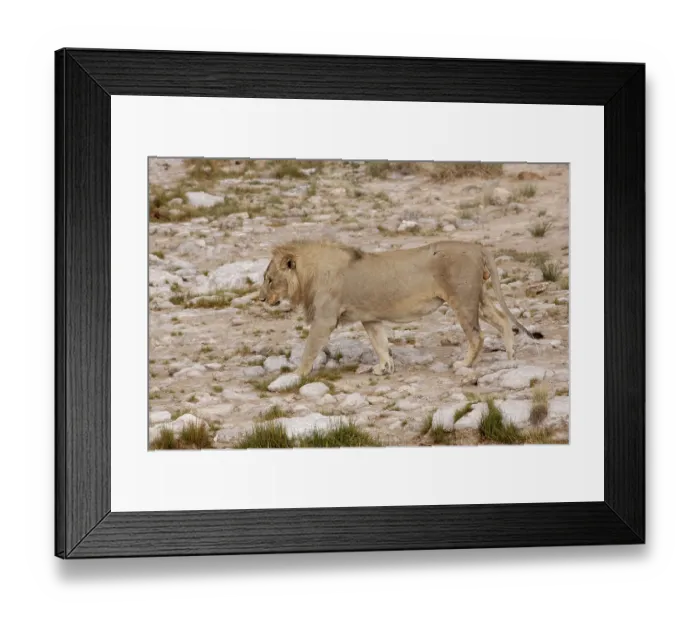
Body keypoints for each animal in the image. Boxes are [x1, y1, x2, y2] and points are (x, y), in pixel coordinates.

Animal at [258, 240, 542, 377]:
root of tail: (477, 246)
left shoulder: (325, 319)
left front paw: (297, 374)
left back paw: (464, 364)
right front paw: (384, 368)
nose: (260, 299)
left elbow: (309, 349)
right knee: (503, 320)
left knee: (477, 336)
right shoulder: (369, 318)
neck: (308, 275)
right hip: (477, 298)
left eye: (269, 279)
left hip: (462, 300)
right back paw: (509, 358)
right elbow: (380, 344)